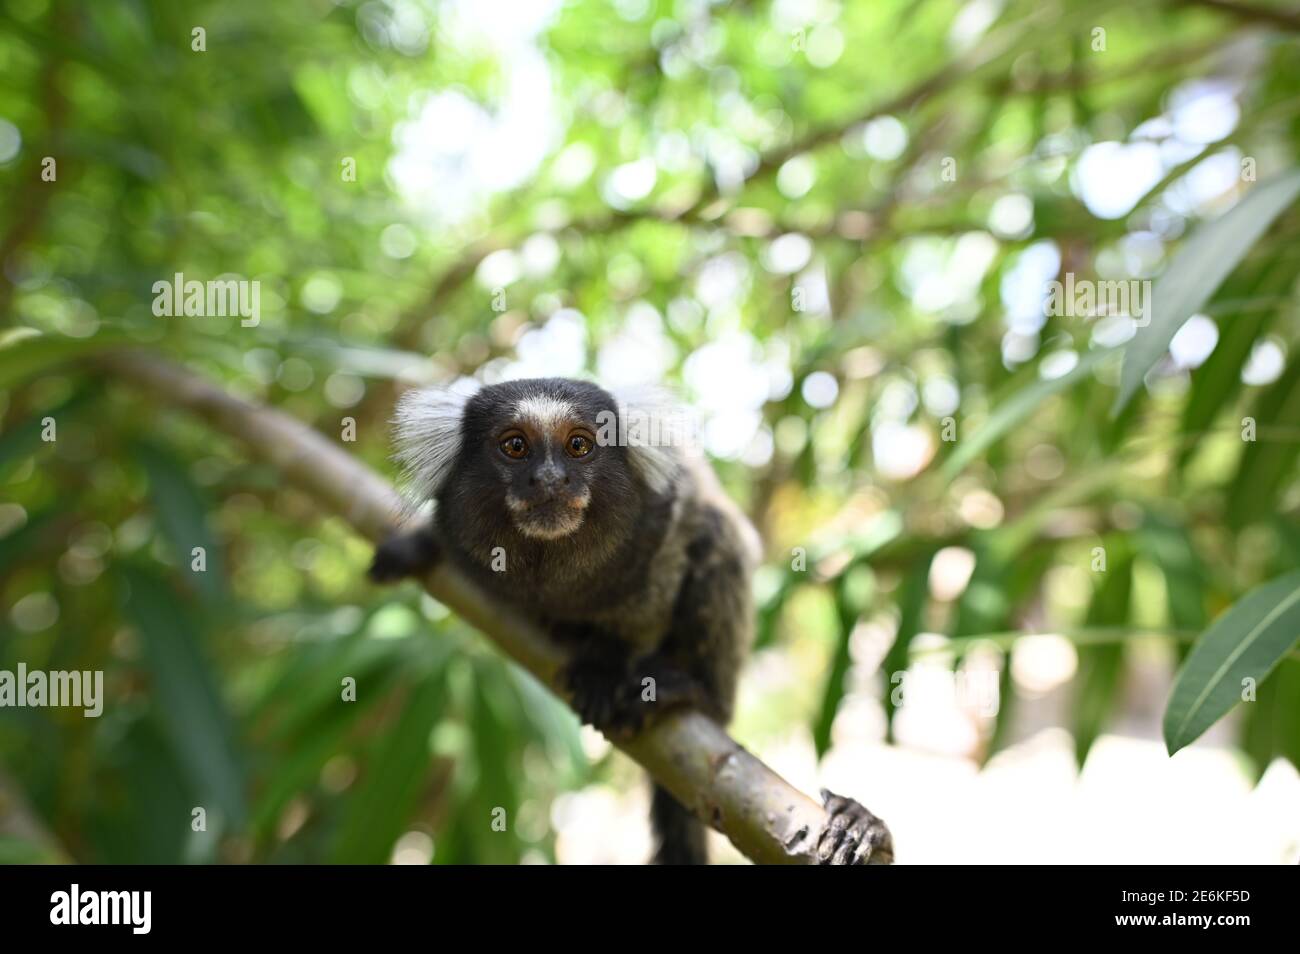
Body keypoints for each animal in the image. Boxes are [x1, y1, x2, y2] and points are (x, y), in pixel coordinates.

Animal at [371, 374, 889, 868]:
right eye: (514, 446)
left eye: (579, 445)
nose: (550, 478)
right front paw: (418, 546)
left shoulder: (666, 512)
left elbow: (662, 576)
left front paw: (607, 664)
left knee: (720, 538)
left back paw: (693, 693)